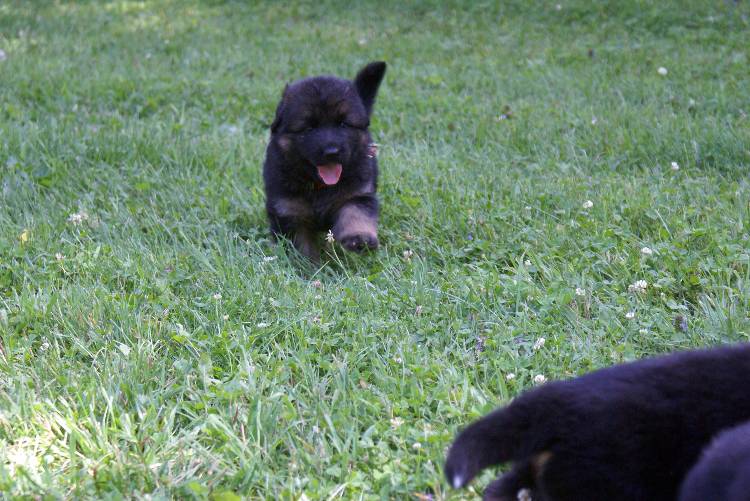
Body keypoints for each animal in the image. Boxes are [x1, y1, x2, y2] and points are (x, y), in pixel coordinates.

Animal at [262, 62, 388, 262]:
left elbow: (355, 214)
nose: (331, 152)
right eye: (309, 128)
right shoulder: (288, 212)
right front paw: (307, 265)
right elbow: (301, 245)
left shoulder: (358, 194)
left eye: (343, 124)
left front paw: (359, 239)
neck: (320, 187)